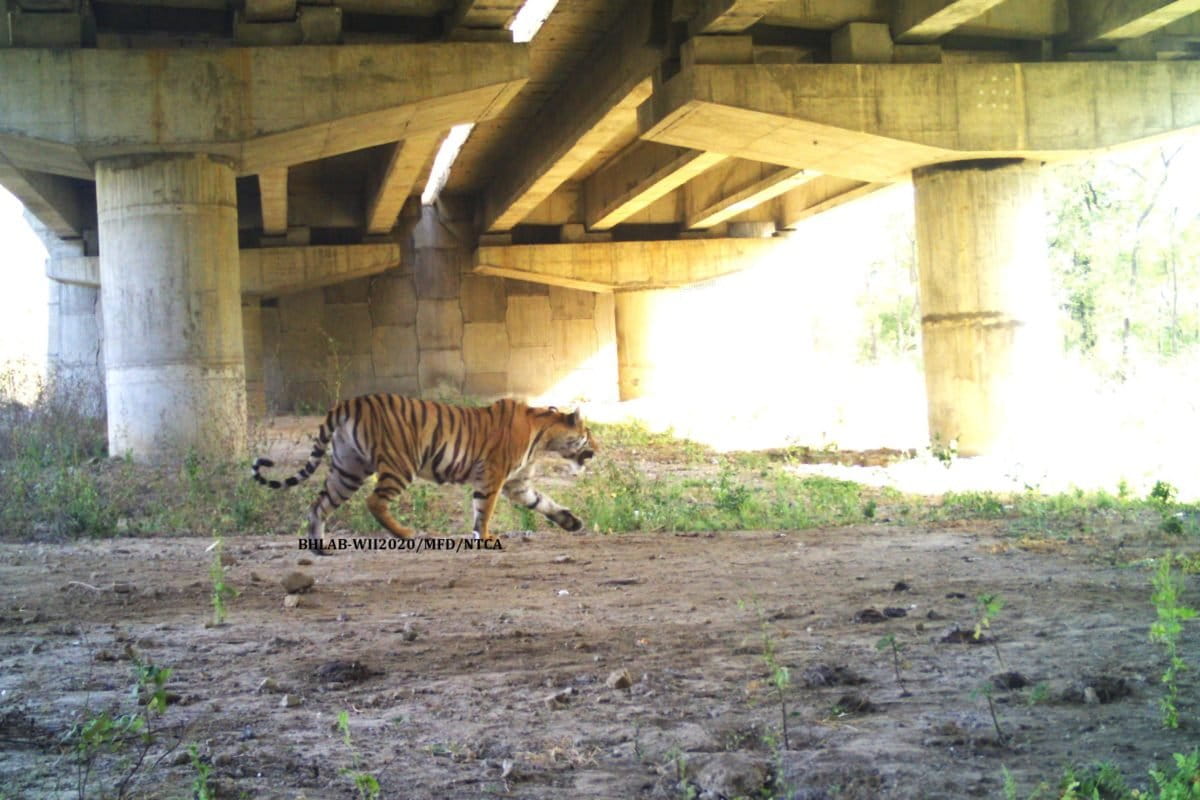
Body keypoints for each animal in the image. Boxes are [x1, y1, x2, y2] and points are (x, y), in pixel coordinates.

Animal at [251, 395, 595, 553]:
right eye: (589, 434)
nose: (598, 447)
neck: (544, 437)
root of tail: (348, 403)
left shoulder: (518, 484)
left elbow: (543, 502)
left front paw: (572, 523)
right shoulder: (493, 476)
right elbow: (483, 510)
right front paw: (484, 537)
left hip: (347, 469)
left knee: (318, 505)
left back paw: (319, 547)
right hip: (400, 464)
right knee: (374, 502)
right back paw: (406, 534)